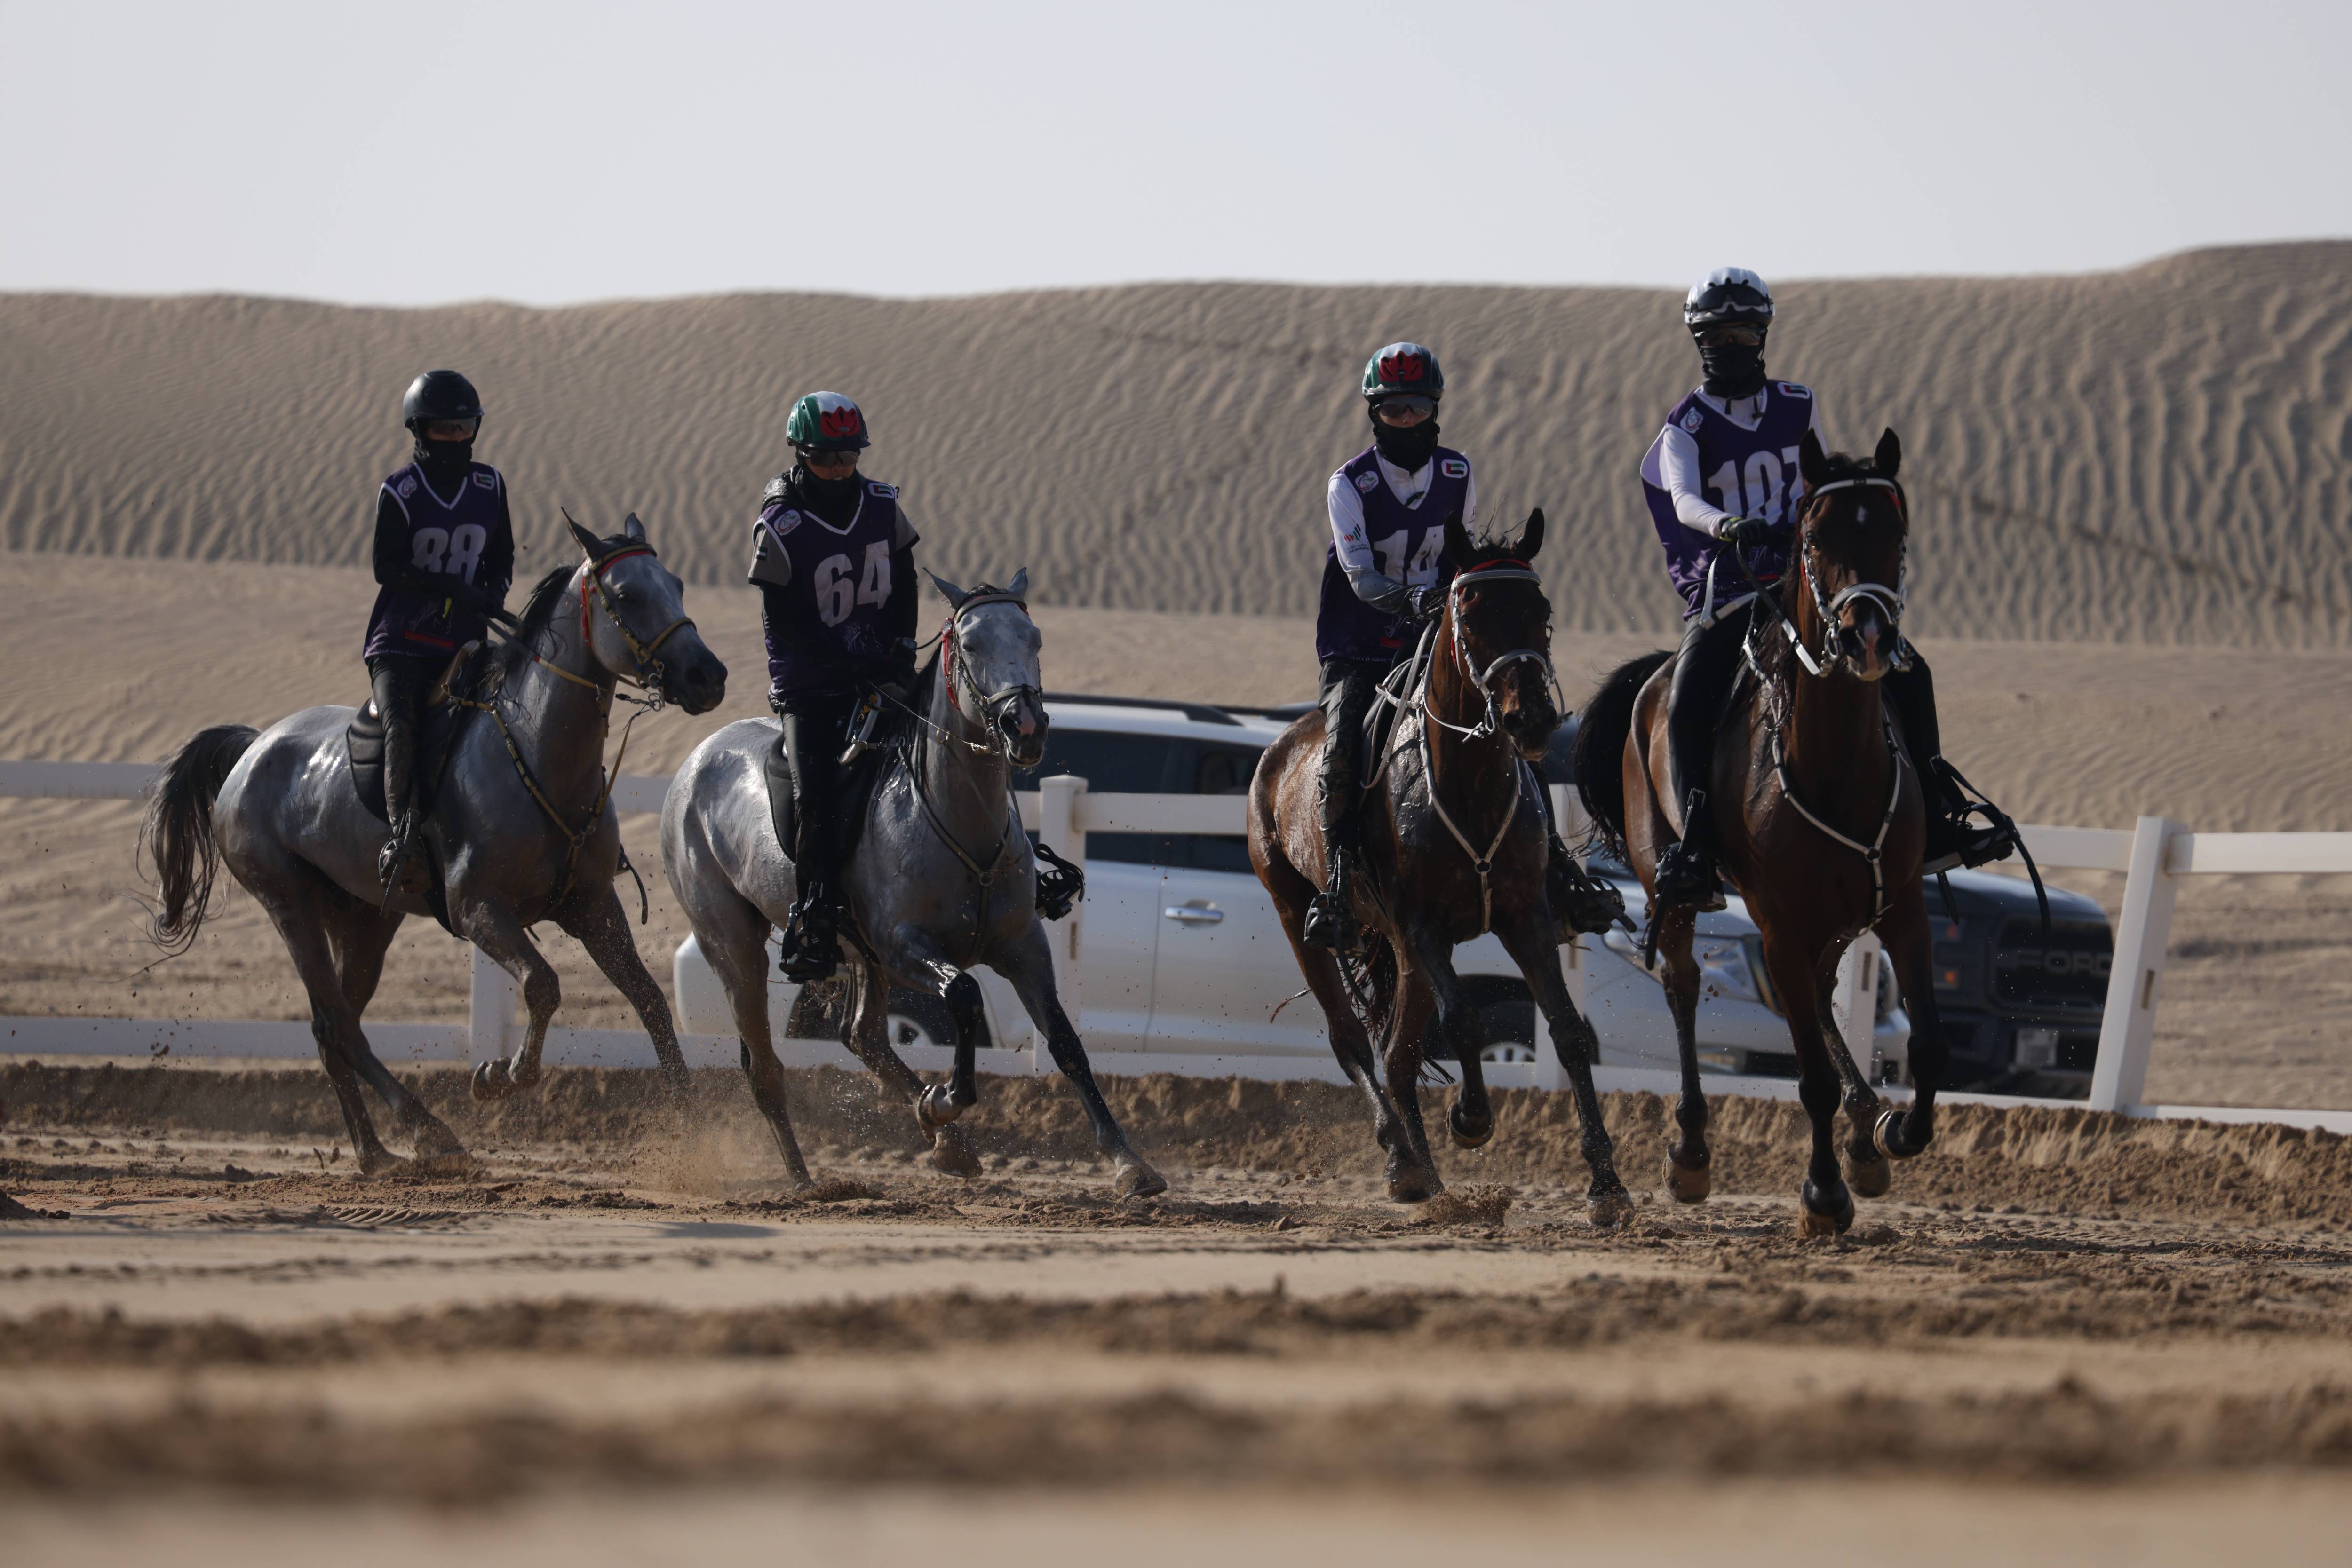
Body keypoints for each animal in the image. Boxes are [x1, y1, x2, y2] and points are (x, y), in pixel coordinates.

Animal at [144, 512, 724, 1166]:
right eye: (626, 596)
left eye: (677, 584)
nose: (708, 675)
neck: (536, 752)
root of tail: (252, 747)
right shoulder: (477, 909)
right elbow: (542, 984)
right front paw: (499, 1075)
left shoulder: (593, 907)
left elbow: (649, 999)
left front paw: (698, 1131)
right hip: (289, 905)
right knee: (337, 1024)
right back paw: (428, 1131)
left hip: (365, 921)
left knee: (334, 1028)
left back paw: (375, 1152)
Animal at [663, 576, 1167, 1204]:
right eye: (970, 645)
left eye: (1035, 638)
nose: (1024, 728)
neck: (960, 820)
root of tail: (697, 759)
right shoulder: (905, 949)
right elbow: (965, 996)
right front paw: (946, 1099)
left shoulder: (1023, 947)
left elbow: (1064, 1041)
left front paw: (1130, 1163)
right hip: (735, 950)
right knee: (765, 1066)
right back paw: (807, 1178)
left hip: (858, 958)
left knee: (863, 1037)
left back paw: (946, 1143)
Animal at [1261, 515, 1628, 1222]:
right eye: (1471, 611)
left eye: (1541, 612)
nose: (1530, 719)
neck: (1467, 783)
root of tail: (1279, 751)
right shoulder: (1421, 927)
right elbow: (1464, 1022)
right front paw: (1472, 1117)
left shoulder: (1524, 916)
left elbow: (1567, 1031)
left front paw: (1606, 1184)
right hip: (1300, 918)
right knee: (1353, 1042)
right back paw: (1401, 1158)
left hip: (1405, 958)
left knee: (1399, 1056)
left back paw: (1422, 1170)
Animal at [1581, 432, 1947, 1241]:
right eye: (1814, 539)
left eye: (1897, 536)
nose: (1869, 636)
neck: (1837, 764)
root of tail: (1651, 679)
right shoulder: (1778, 923)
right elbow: (1807, 1076)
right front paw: (1822, 1194)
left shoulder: (1903, 907)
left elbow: (1928, 1040)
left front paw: (1895, 1133)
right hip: (1671, 885)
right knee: (1683, 985)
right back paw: (1691, 1151)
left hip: (1837, 916)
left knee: (1820, 989)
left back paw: (1866, 1128)